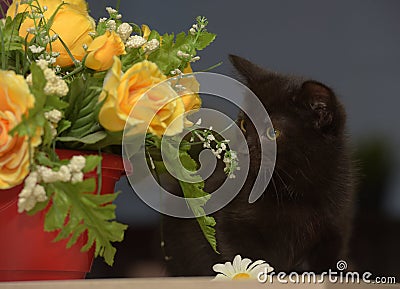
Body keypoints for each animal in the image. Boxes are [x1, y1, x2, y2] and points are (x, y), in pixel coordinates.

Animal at [161, 55, 354, 274]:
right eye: (244, 124)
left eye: (273, 133)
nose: (243, 149)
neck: (292, 188)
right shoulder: (231, 226)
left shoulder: (335, 227)